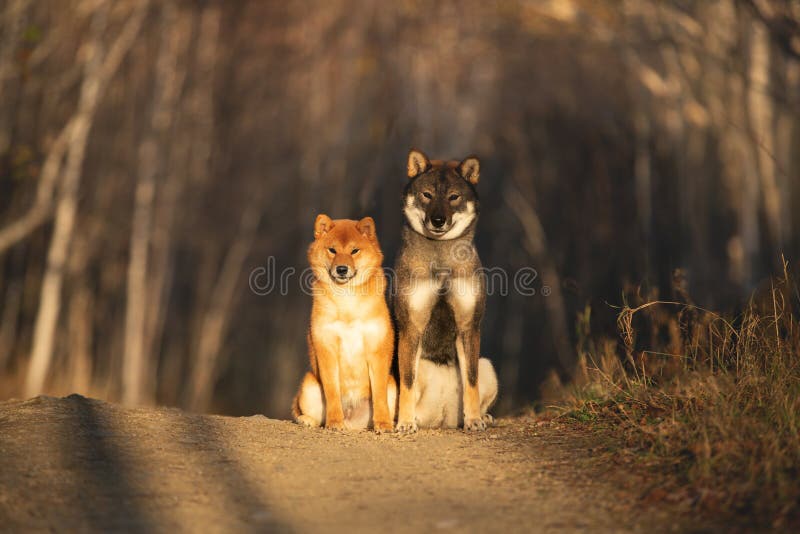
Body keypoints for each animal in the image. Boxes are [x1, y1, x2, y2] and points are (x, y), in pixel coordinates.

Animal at [392, 149, 496, 434]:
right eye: (427, 195)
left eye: (453, 197)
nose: (438, 220)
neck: (440, 263)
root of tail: (442, 418)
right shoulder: (411, 327)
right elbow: (407, 381)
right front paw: (405, 423)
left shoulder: (469, 326)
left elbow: (471, 380)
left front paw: (474, 420)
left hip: (488, 365)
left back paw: (482, 417)